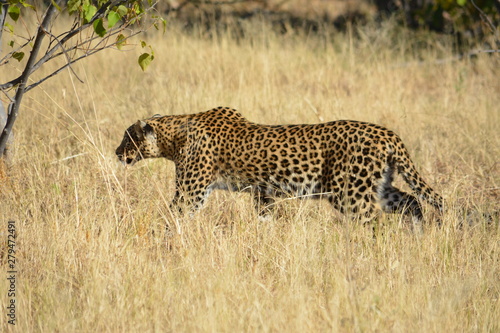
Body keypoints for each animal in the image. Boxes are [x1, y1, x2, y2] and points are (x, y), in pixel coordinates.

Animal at [115, 106, 444, 226]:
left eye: (127, 137)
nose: (117, 152)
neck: (174, 135)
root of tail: (388, 133)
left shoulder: (191, 193)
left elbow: (173, 215)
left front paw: (158, 237)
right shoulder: (264, 193)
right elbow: (265, 219)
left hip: (350, 192)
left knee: (373, 221)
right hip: (378, 185)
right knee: (412, 201)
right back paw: (420, 234)